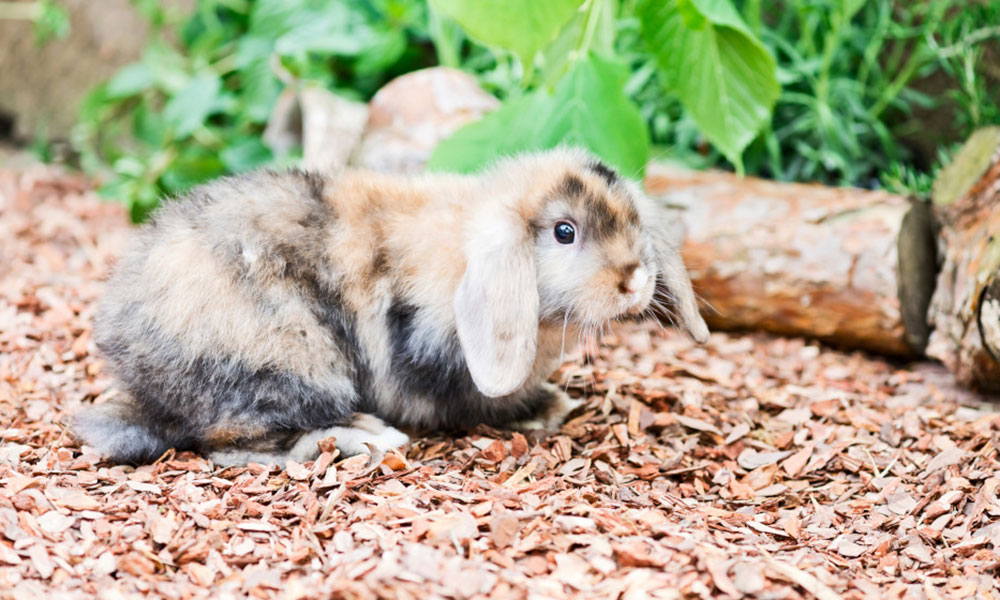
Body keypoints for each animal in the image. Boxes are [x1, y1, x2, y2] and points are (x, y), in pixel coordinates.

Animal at [70, 147, 709, 466]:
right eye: (564, 232)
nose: (636, 278)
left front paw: (552, 402)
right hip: (294, 360)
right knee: (235, 443)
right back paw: (366, 438)